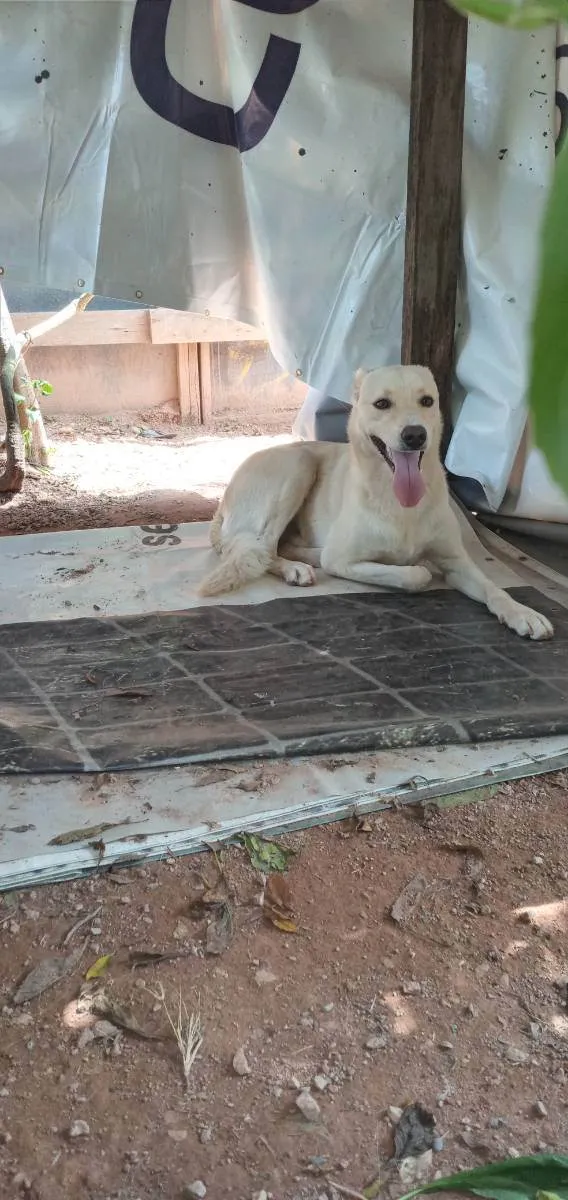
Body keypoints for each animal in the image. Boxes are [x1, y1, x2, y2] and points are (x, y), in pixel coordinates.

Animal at [198, 364, 549, 643]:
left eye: (427, 401)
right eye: (382, 403)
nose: (415, 435)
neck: (399, 501)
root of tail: (221, 504)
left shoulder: (457, 561)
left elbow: (493, 587)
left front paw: (522, 612)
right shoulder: (342, 559)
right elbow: (415, 574)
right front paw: (414, 569)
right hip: (299, 464)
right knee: (262, 548)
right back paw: (297, 567)